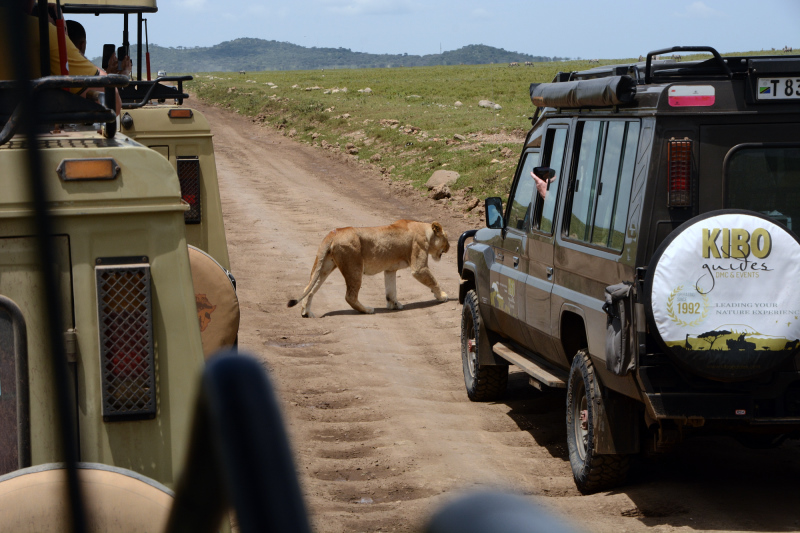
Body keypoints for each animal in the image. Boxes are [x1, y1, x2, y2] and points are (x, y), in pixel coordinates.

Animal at [288, 219, 450, 318]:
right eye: (447, 238)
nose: (449, 248)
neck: (425, 231)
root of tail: (334, 232)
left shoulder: (390, 270)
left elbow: (391, 290)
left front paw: (394, 304)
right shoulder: (419, 267)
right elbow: (433, 281)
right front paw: (442, 296)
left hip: (324, 267)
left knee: (309, 288)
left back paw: (306, 313)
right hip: (354, 266)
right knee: (350, 296)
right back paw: (367, 310)